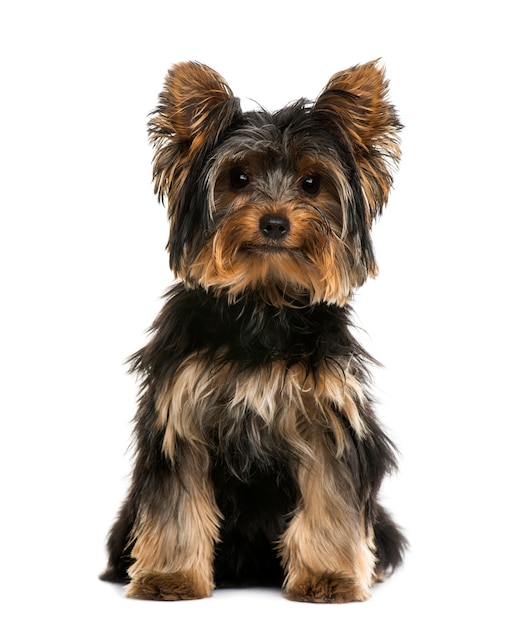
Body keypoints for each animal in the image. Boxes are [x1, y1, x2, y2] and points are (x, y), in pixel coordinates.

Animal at [101, 62, 406, 600]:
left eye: (311, 183)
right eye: (238, 178)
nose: (274, 222)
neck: (264, 300)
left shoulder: (327, 420)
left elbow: (330, 497)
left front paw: (327, 578)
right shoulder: (182, 412)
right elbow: (176, 504)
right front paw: (169, 578)